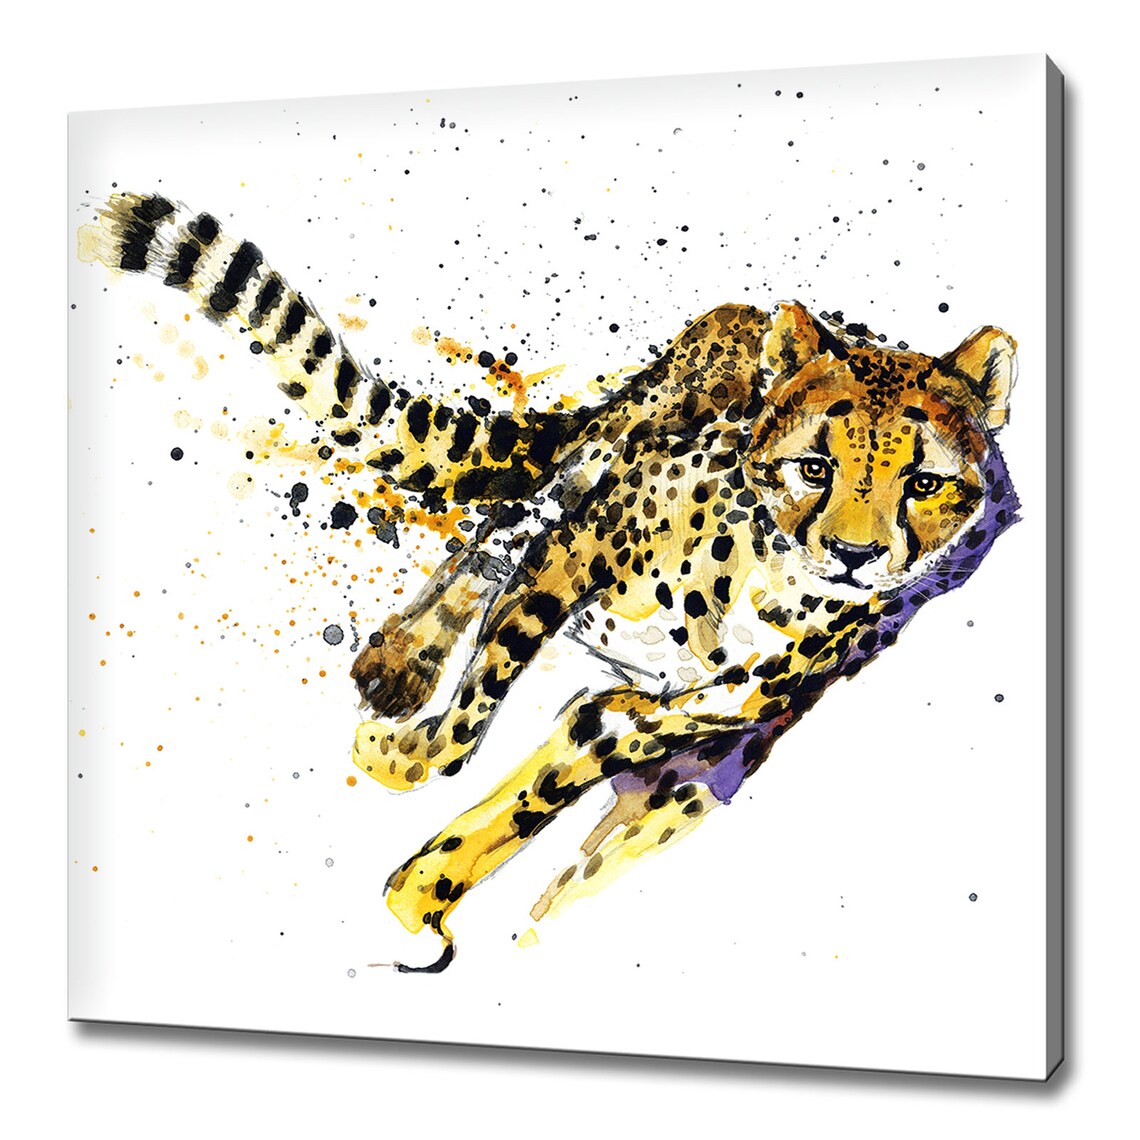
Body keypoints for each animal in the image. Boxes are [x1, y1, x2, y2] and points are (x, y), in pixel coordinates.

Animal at [81, 192, 1020, 972]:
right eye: (815, 467)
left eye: (926, 483)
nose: (856, 555)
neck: (774, 584)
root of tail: (746, 311)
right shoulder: (576, 553)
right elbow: (470, 716)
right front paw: (398, 755)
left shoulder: (663, 725)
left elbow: (554, 786)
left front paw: (428, 895)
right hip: (596, 461)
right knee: (499, 528)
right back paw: (402, 662)